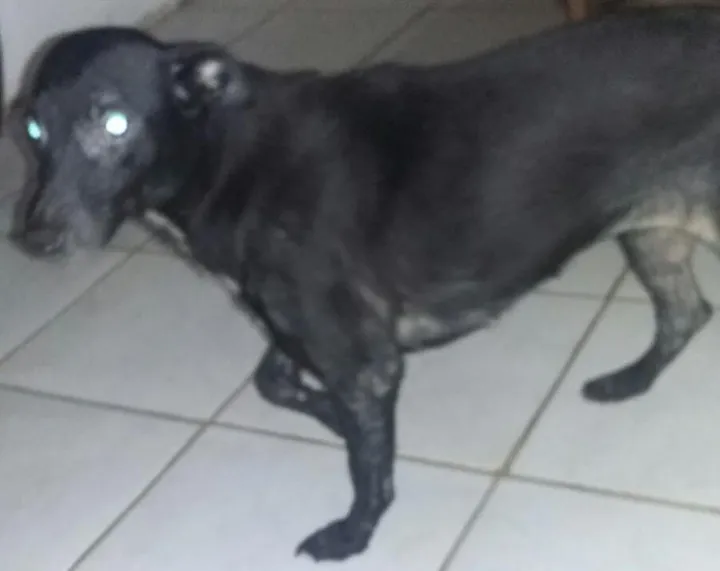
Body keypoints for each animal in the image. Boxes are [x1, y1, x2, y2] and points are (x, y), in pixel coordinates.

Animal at [10, 7, 720, 561]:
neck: (228, 157)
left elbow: (366, 463)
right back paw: (630, 380)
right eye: (33, 129)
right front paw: (333, 419)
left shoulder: (360, 358)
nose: (33, 240)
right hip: (651, 233)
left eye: (115, 124)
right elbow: (279, 386)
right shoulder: (303, 331)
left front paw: (354, 533)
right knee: (688, 311)